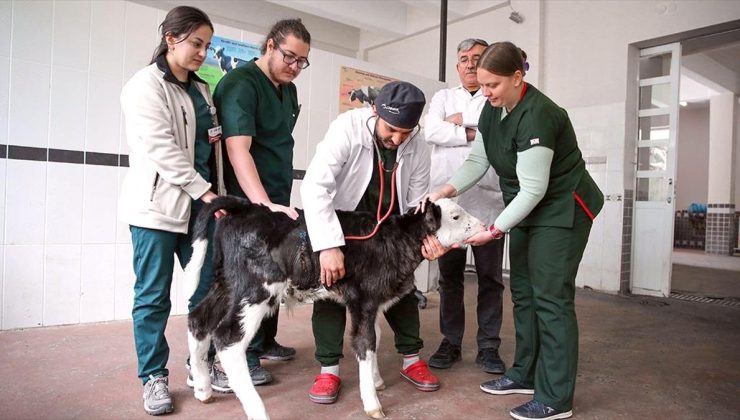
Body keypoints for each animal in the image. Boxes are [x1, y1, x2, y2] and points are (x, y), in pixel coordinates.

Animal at [184, 197, 486, 420]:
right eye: (456, 216)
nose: (484, 224)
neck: (395, 240)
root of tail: (245, 207)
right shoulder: (363, 299)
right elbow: (365, 342)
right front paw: (372, 402)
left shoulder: (371, 304)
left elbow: (374, 339)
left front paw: (376, 380)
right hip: (257, 291)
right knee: (227, 339)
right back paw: (257, 411)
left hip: (227, 284)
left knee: (198, 319)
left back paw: (202, 389)